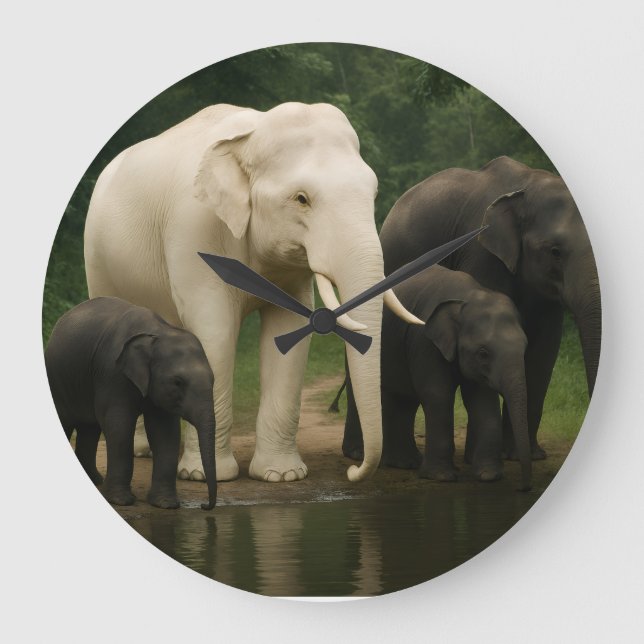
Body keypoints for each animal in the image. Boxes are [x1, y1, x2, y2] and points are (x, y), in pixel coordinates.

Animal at [45, 297, 217, 510]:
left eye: (213, 380)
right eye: (178, 382)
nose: (204, 506)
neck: (158, 331)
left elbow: (165, 431)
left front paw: (166, 504)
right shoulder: (112, 373)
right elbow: (119, 425)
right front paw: (122, 502)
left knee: (89, 429)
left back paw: (95, 481)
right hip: (57, 383)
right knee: (68, 423)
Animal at [84, 102, 418, 484]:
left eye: (373, 194)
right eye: (301, 199)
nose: (351, 471)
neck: (249, 137)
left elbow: (288, 328)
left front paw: (282, 475)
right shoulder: (193, 230)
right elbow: (215, 332)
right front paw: (204, 476)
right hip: (97, 257)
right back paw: (141, 452)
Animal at [344, 266, 531, 490]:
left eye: (525, 347)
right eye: (483, 353)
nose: (523, 487)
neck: (468, 296)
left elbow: (483, 401)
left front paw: (489, 476)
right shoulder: (424, 340)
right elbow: (438, 395)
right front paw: (441, 477)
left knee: (404, 400)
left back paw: (405, 463)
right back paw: (362, 457)